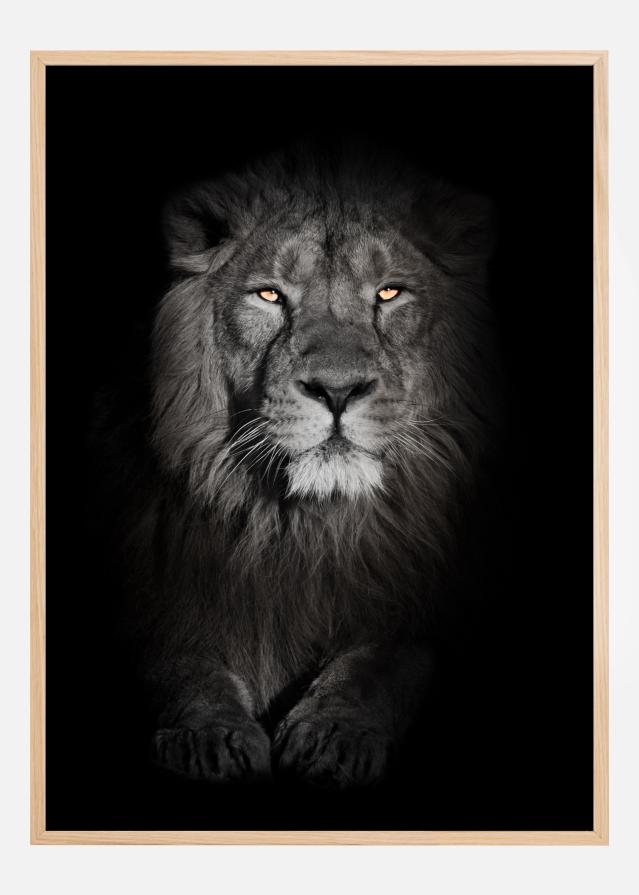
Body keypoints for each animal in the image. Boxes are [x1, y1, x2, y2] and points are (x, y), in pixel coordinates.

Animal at [117, 142, 498, 788]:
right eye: (270, 295)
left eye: (390, 293)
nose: (337, 391)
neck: (302, 528)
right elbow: (178, 662)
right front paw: (210, 736)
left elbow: (381, 663)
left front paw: (335, 734)